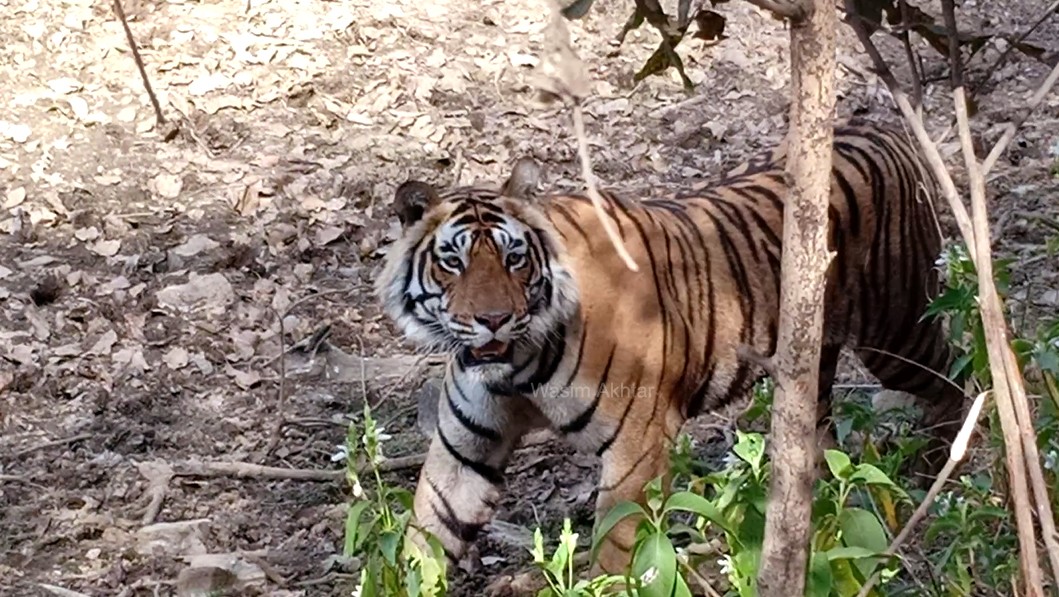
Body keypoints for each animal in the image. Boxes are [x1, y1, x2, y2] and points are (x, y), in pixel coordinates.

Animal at [374, 122, 968, 578]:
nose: (493, 320)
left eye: (514, 258)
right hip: (810, 358)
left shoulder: (635, 447)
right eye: (453, 262)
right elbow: (426, 533)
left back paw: (937, 475)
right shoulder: (465, 449)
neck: (519, 365)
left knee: (955, 377)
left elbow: (615, 547)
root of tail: (881, 127)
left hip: (896, 330)